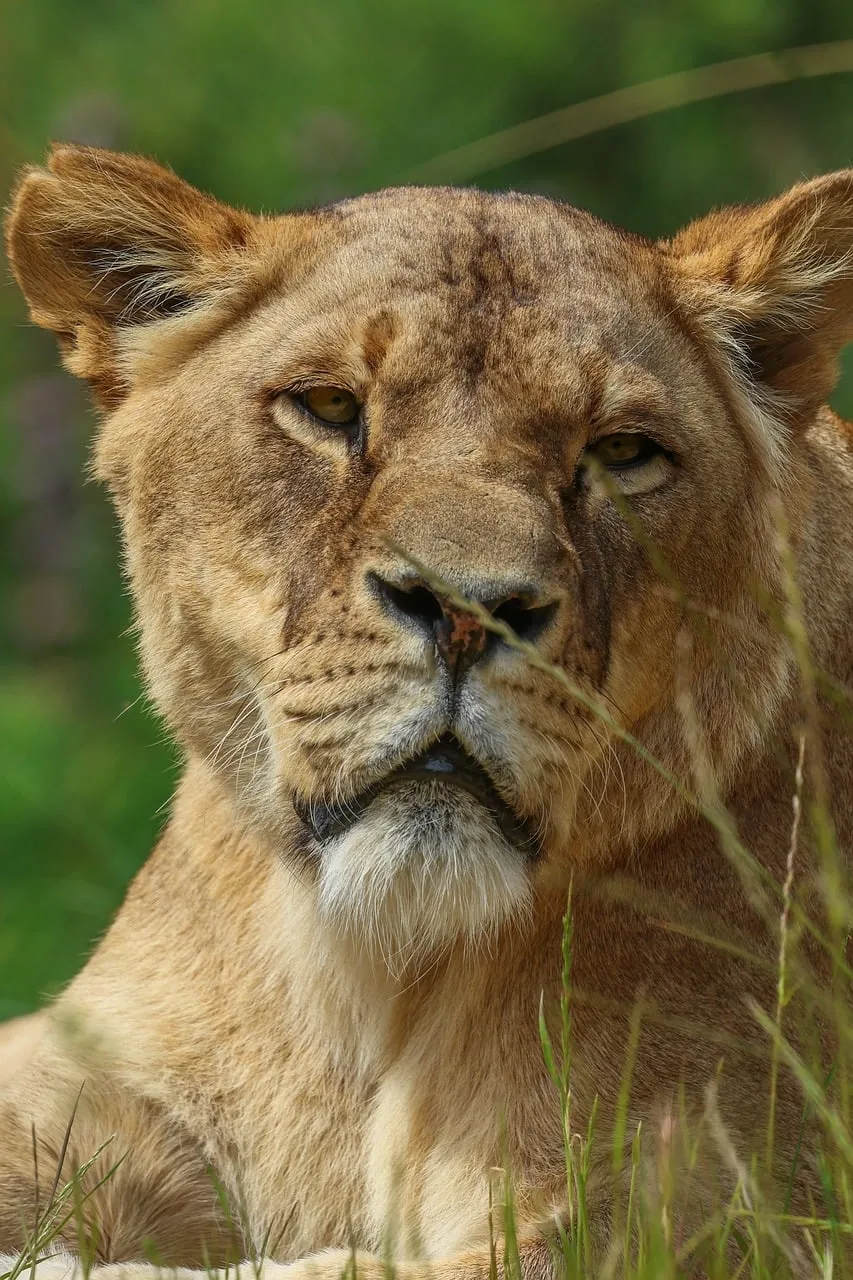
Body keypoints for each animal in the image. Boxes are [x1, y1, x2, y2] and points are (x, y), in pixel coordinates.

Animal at [1, 145, 853, 1278]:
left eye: (623, 452)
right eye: (327, 406)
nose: (464, 608)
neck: (373, 970)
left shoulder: (675, 1203)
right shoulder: (90, 1083)